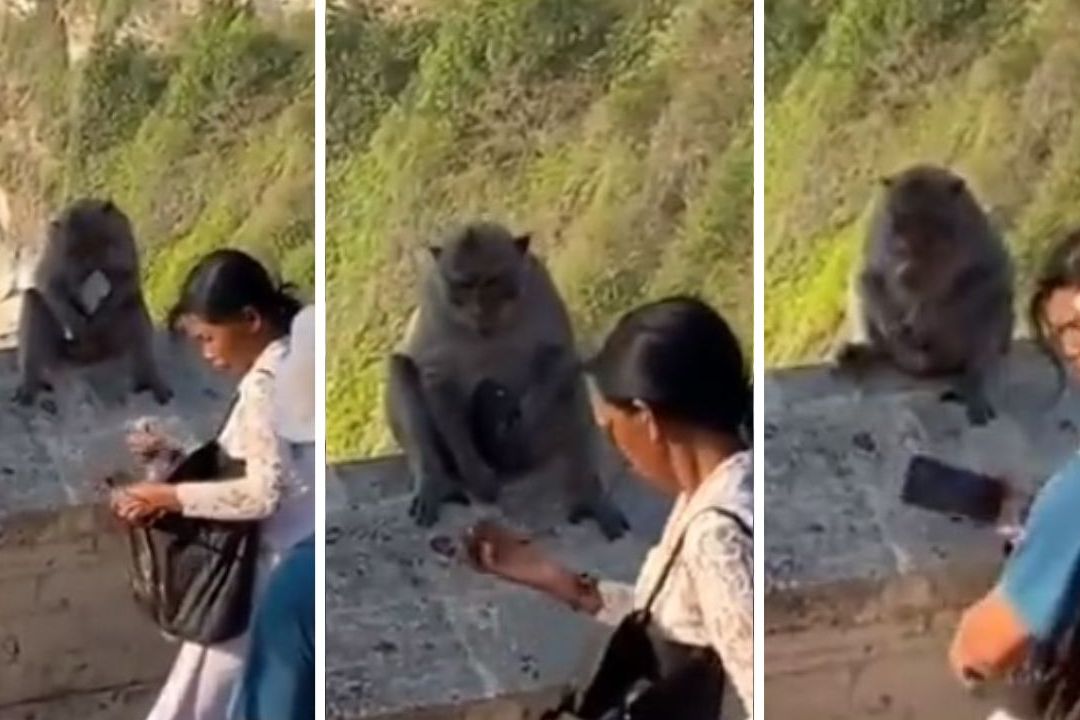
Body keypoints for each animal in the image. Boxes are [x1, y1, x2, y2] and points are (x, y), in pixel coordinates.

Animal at [14, 198, 173, 406]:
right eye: (75, 252)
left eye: (104, 243)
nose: (91, 265)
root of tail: (90, 356)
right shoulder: (56, 244)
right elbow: (49, 282)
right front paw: (77, 322)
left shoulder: (121, 231)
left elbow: (127, 274)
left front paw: (101, 315)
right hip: (65, 353)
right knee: (34, 299)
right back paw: (30, 385)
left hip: (110, 344)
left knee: (132, 304)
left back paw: (151, 381)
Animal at [385, 222, 630, 540]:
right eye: (464, 285)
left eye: (491, 281)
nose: (479, 309)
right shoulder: (434, 302)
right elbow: (436, 377)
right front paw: (476, 475)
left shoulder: (539, 284)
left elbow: (557, 355)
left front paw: (515, 433)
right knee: (401, 368)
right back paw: (434, 481)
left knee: (567, 380)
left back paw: (588, 495)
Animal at [835, 165, 1014, 426]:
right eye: (900, 222)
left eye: (930, 222)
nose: (907, 258)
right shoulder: (878, 230)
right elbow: (870, 273)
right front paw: (892, 324)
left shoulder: (973, 235)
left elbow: (984, 275)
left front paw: (926, 320)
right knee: (864, 283)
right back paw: (873, 349)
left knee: (991, 303)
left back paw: (974, 379)